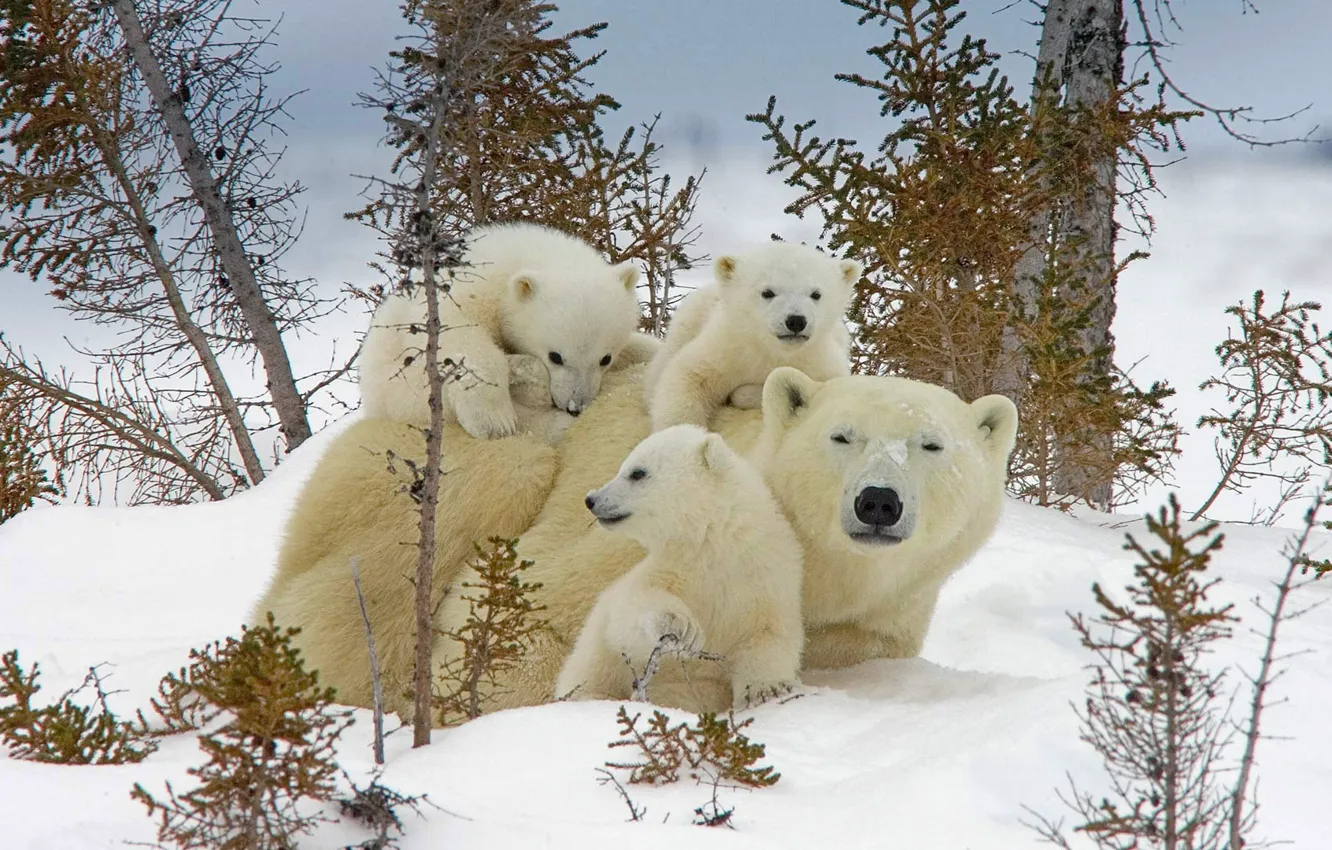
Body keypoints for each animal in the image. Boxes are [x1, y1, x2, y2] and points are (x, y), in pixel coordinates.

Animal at [359, 223, 660, 439]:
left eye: (605, 359)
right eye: (555, 356)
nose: (575, 407)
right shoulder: (461, 295)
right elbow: (458, 334)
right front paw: (493, 420)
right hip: (398, 392)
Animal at [551, 426, 799, 714]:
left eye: (637, 472)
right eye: (625, 466)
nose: (591, 499)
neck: (715, 546)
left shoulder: (767, 576)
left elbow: (768, 635)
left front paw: (766, 690)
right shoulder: (672, 570)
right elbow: (628, 616)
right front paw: (683, 627)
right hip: (594, 659)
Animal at [644, 245, 863, 431]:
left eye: (816, 294)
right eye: (767, 292)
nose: (796, 321)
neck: (771, 350)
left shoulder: (821, 363)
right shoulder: (726, 349)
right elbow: (687, 376)